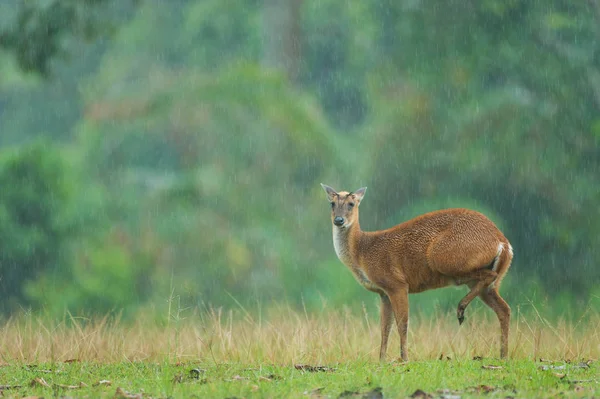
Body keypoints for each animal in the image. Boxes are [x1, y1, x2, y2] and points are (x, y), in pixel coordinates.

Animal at [322, 184, 512, 362]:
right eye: (332, 203)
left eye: (351, 204)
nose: (339, 220)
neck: (362, 253)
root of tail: (503, 242)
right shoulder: (383, 293)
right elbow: (385, 328)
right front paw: (381, 360)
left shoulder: (396, 283)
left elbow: (402, 324)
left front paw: (404, 358)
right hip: (483, 280)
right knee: (504, 308)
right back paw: (503, 355)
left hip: (444, 258)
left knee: (489, 278)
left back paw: (461, 309)